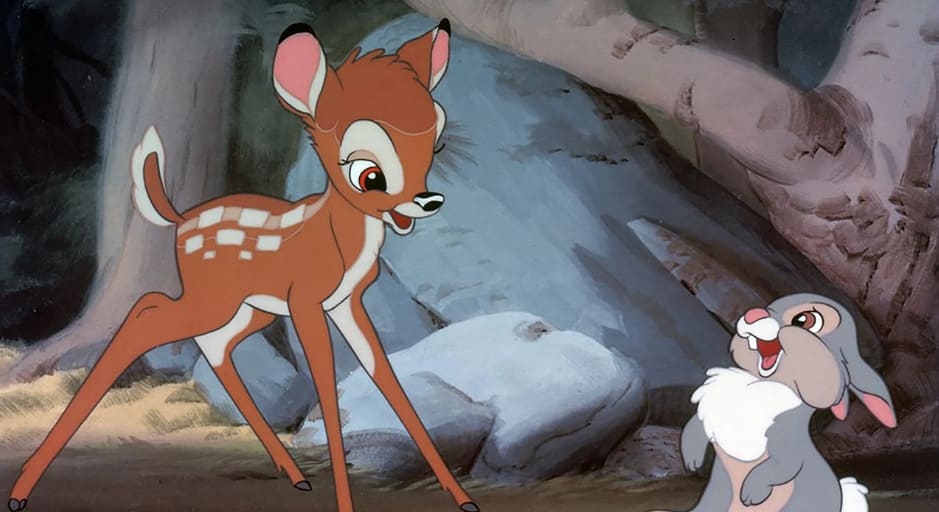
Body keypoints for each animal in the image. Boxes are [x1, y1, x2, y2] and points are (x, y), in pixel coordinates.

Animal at [8, 19, 480, 512]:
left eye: (435, 143)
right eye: (368, 173)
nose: (427, 201)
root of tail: (180, 219)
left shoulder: (347, 302)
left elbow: (386, 375)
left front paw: (462, 497)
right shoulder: (306, 300)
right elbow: (328, 382)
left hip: (248, 308)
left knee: (212, 347)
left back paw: (297, 476)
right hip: (215, 300)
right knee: (147, 313)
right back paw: (23, 486)